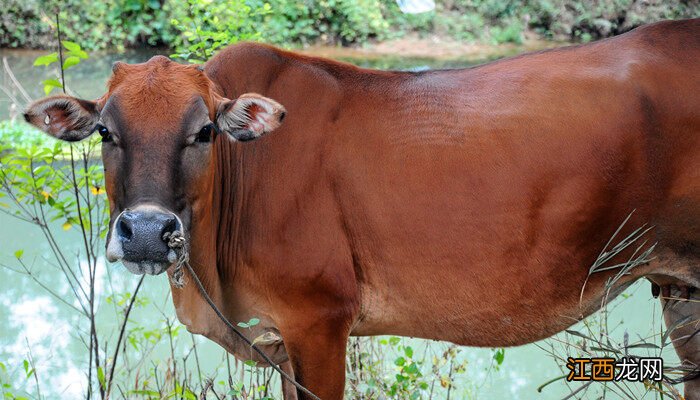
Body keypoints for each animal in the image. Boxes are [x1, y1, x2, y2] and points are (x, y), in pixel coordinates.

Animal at [24, 18, 696, 400]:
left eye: (205, 132)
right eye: (105, 132)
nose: (144, 232)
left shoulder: (320, 318)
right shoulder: (280, 339)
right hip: (676, 283)